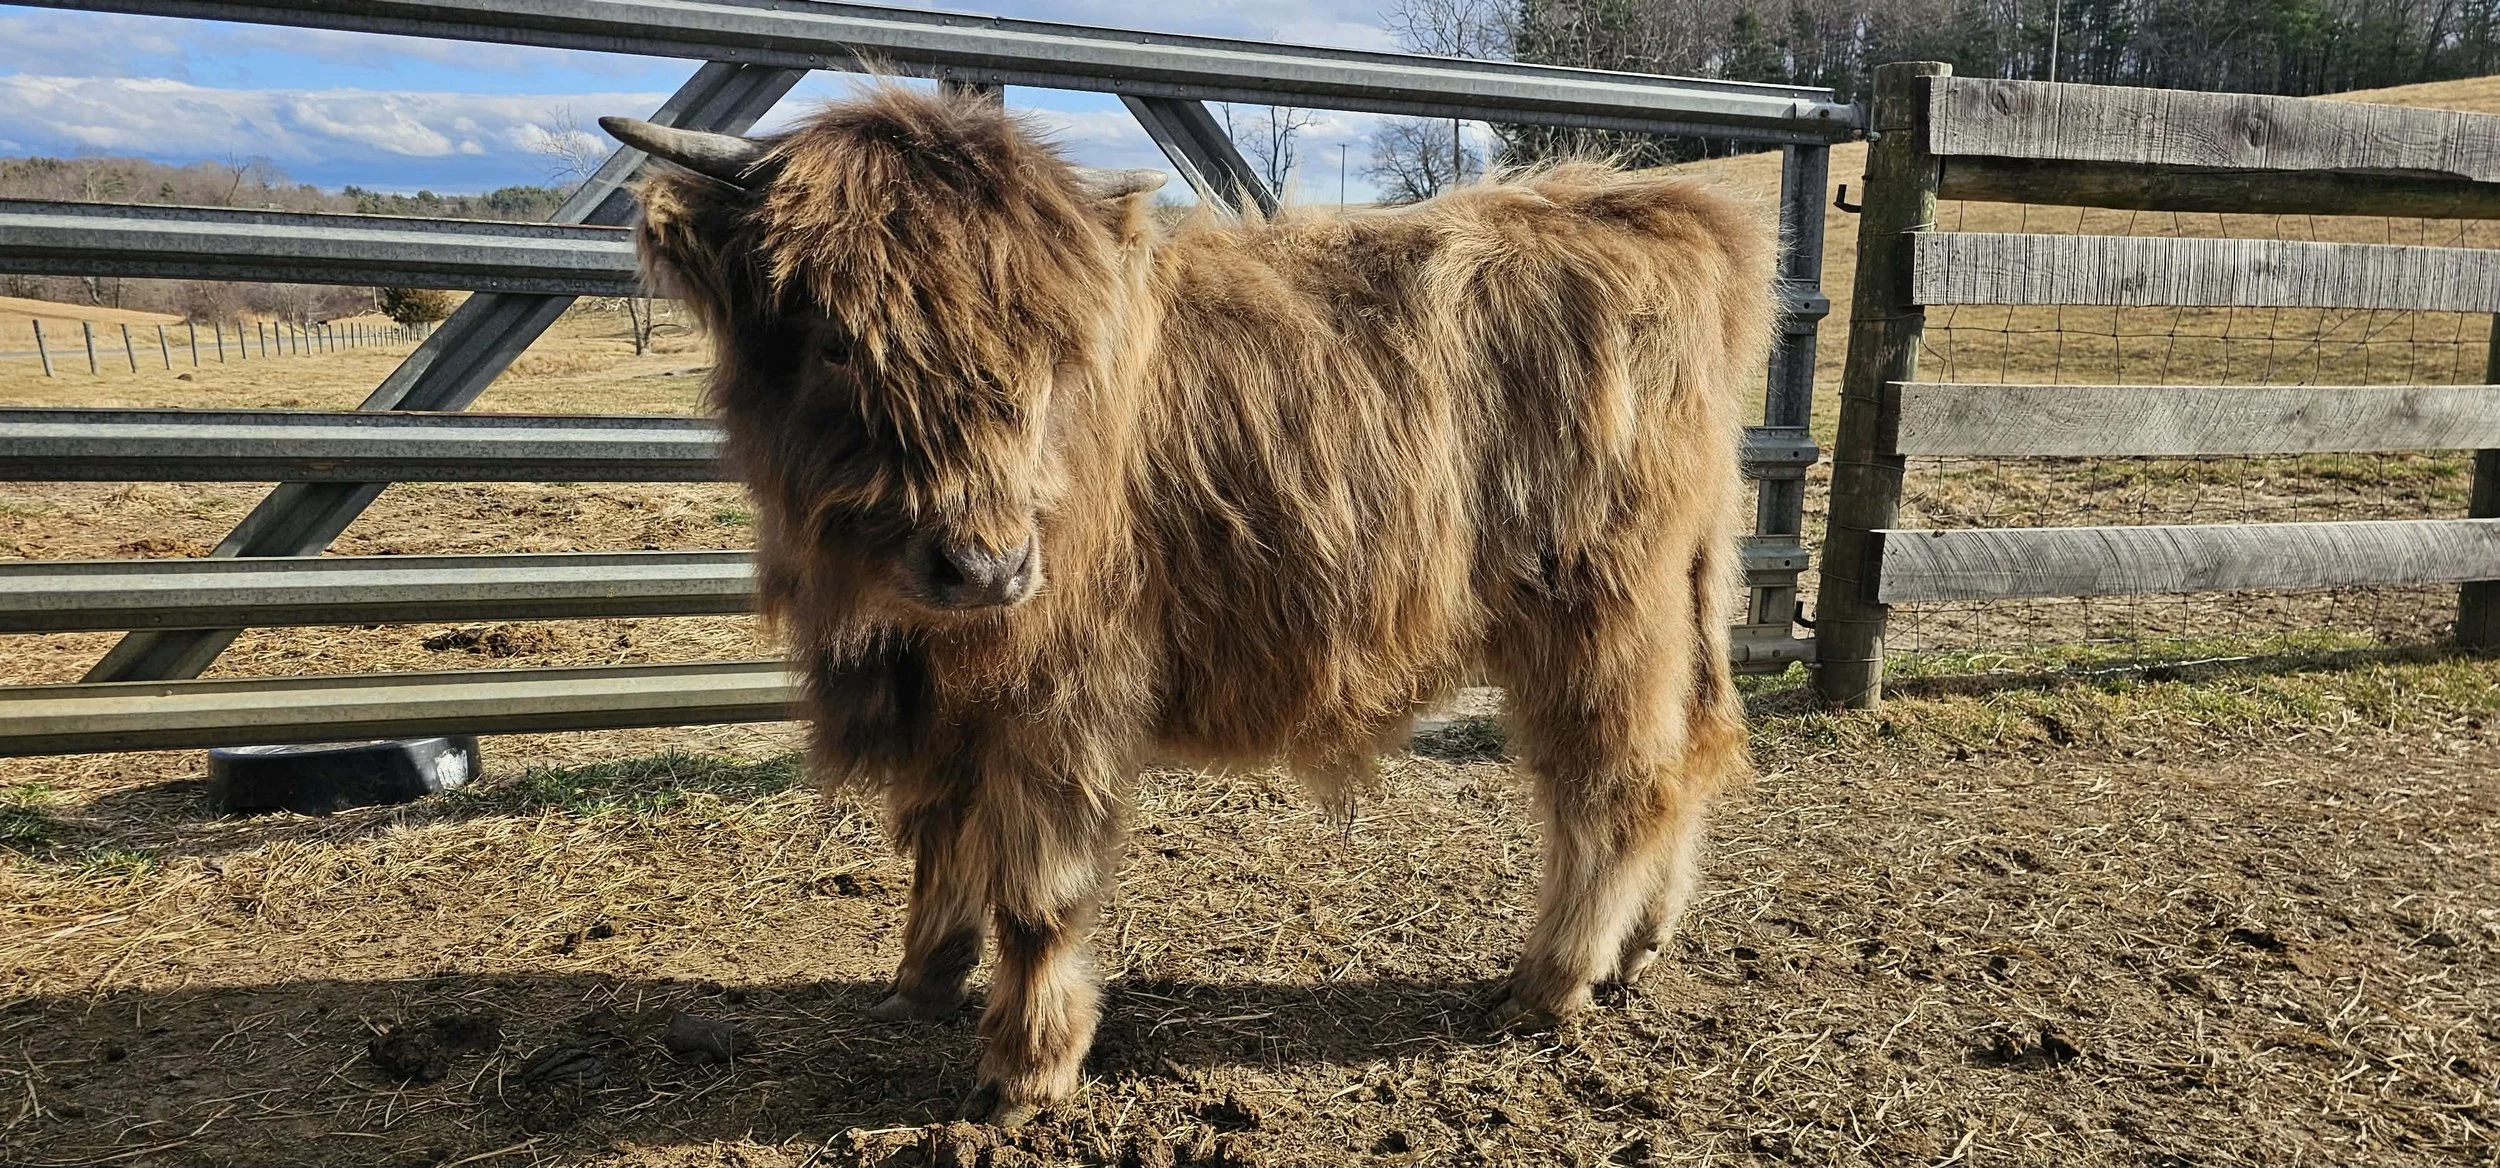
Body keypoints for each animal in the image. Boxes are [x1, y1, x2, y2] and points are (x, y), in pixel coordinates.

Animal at [602, 86, 1775, 1125]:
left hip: (1600, 611)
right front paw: (921, 981)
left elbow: (1036, 891)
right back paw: (1637, 951)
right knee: (1690, 756)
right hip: (1678, 598)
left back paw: (1551, 981)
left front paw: (1024, 1070)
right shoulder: (940, 703)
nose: (987, 568)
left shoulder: (1060, 695)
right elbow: (940, 836)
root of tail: (1657, 211)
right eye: (839, 338)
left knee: (1613, 784)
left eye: (1048, 343)